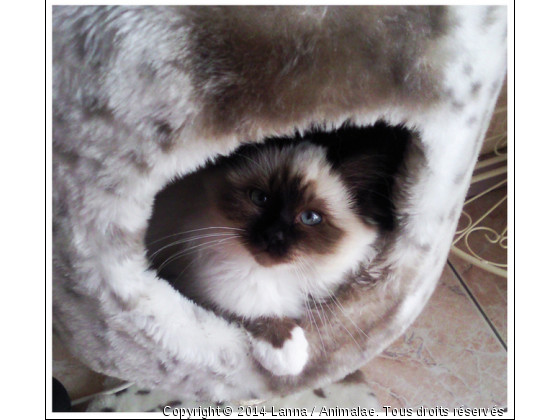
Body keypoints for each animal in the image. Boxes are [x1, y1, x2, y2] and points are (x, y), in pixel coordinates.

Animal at [144, 123, 406, 376]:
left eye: (310, 218)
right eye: (260, 198)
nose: (272, 236)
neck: (272, 275)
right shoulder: (194, 282)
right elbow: (247, 308)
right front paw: (288, 353)